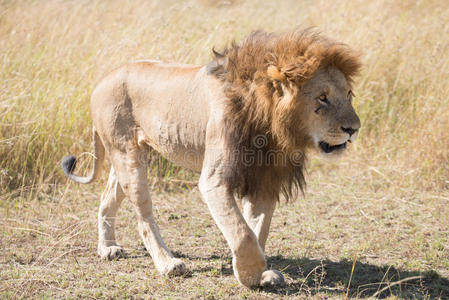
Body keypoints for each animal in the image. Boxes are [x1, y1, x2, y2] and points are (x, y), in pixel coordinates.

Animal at [61, 28, 360, 288]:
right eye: (322, 98)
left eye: (348, 95)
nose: (354, 128)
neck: (270, 124)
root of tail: (103, 79)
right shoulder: (215, 180)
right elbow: (242, 233)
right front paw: (249, 275)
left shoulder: (264, 178)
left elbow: (257, 229)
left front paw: (256, 273)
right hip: (128, 158)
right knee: (143, 217)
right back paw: (167, 263)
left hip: (126, 154)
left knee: (107, 199)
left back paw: (108, 248)